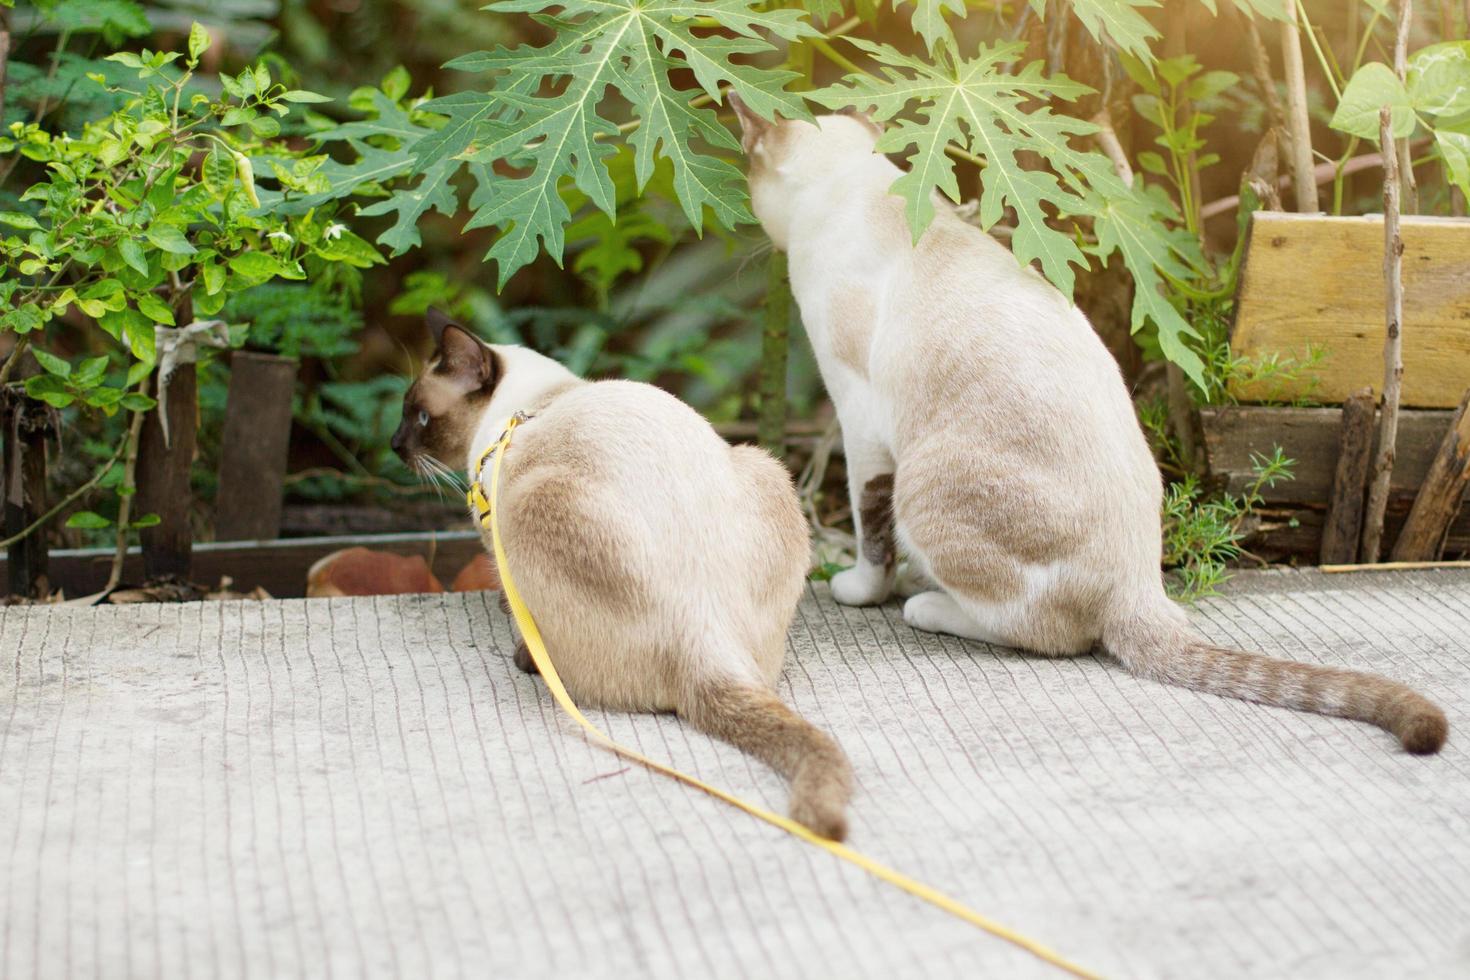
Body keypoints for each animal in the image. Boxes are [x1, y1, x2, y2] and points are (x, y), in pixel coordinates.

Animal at [391, 310, 858, 840]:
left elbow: (513, 608)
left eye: (419, 416)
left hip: (534, 500)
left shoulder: (498, 538)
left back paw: (530, 661)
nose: (394, 445)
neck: (535, 402)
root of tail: (705, 634)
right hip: (766, 467)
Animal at [732, 99, 1446, 758]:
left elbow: (867, 529)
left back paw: (928, 606)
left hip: (926, 481)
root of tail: (1138, 583)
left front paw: (859, 591)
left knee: (1044, 632)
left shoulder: (861, 428)